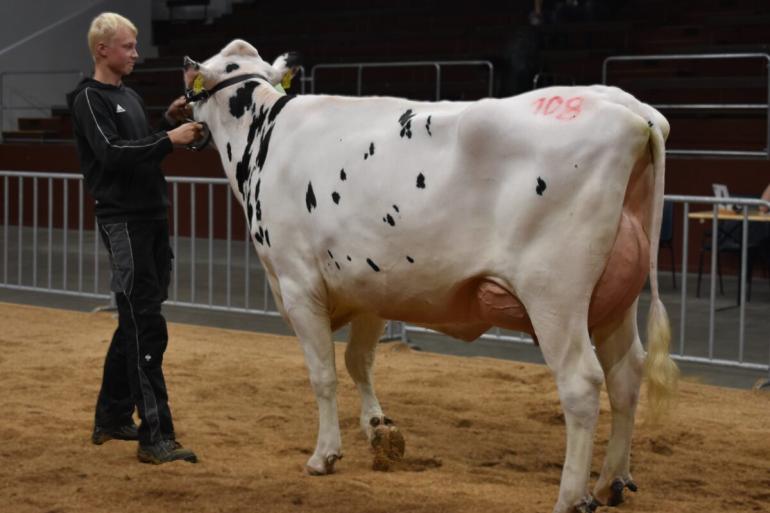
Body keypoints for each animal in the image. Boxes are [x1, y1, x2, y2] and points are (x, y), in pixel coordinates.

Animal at [183, 41, 676, 512]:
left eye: (196, 83)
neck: (265, 133)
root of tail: (633, 112)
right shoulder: (372, 284)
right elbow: (359, 360)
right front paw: (377, 428)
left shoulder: (297, 282)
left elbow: (323, 373)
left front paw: (325, 455)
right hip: (617, 297)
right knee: (626, 372)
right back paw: (612, 481)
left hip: (554, 295)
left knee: (581, 383)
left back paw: (571, 497)